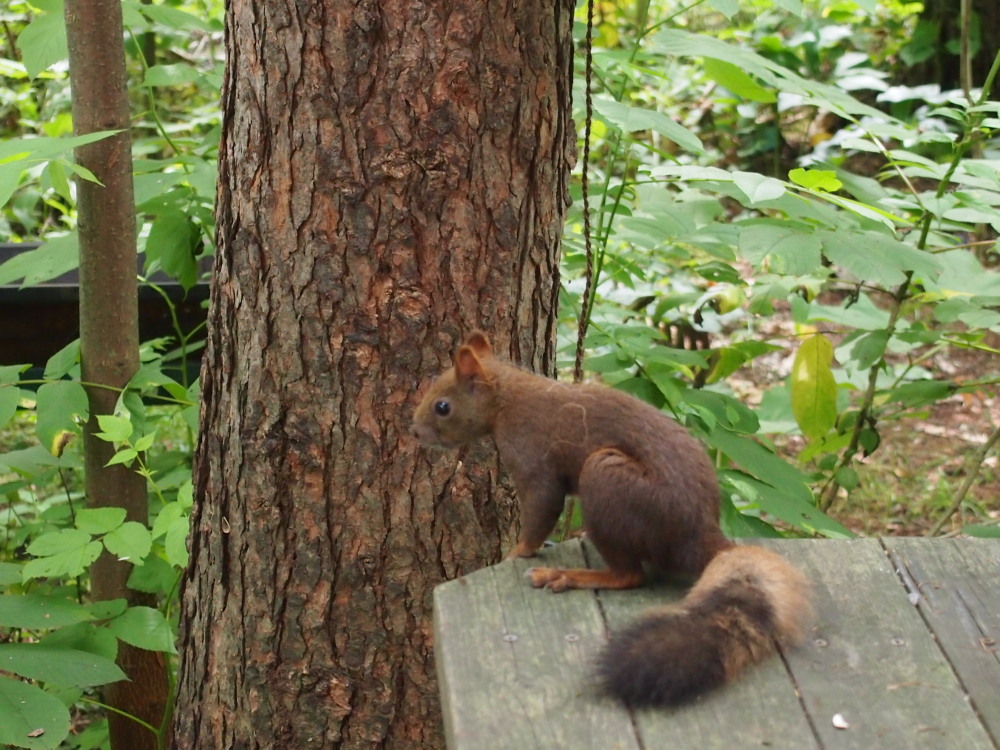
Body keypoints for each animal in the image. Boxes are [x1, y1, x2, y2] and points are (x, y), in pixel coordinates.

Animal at [410, 332, 808, 708]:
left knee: (629, 575)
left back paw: (570, 575)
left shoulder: (532, 460)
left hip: (606, 481)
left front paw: (515, 553)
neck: (508, 397)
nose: (415, 431)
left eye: (442, 406)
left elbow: (540, 514)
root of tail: (701, 537)